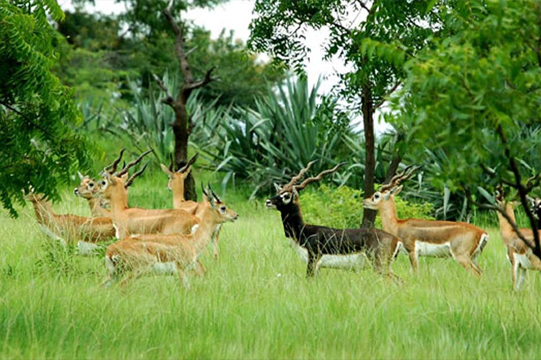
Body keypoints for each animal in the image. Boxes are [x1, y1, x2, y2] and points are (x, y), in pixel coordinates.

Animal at [102, 186, 237, 286]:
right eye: (223, 207)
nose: (236, 215)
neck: (191, 241)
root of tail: (111, 251)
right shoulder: (181, 271)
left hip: (114, 274)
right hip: (137, 271)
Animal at [266, 162, 400, 280]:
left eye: (286, 196)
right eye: (279, 192)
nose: (268, 202)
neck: (304, 231)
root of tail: (396, 239)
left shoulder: (312, 261)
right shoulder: (318, 267)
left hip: (380, 266)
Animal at [362, 166, 490, 276]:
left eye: (376, 195)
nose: (364, 201)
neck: (397, 225)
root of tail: (482, 233)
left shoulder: (412, 251)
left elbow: (415, 273)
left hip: (462, 257)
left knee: (476, 274)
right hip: (474, 257)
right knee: (482, 273)